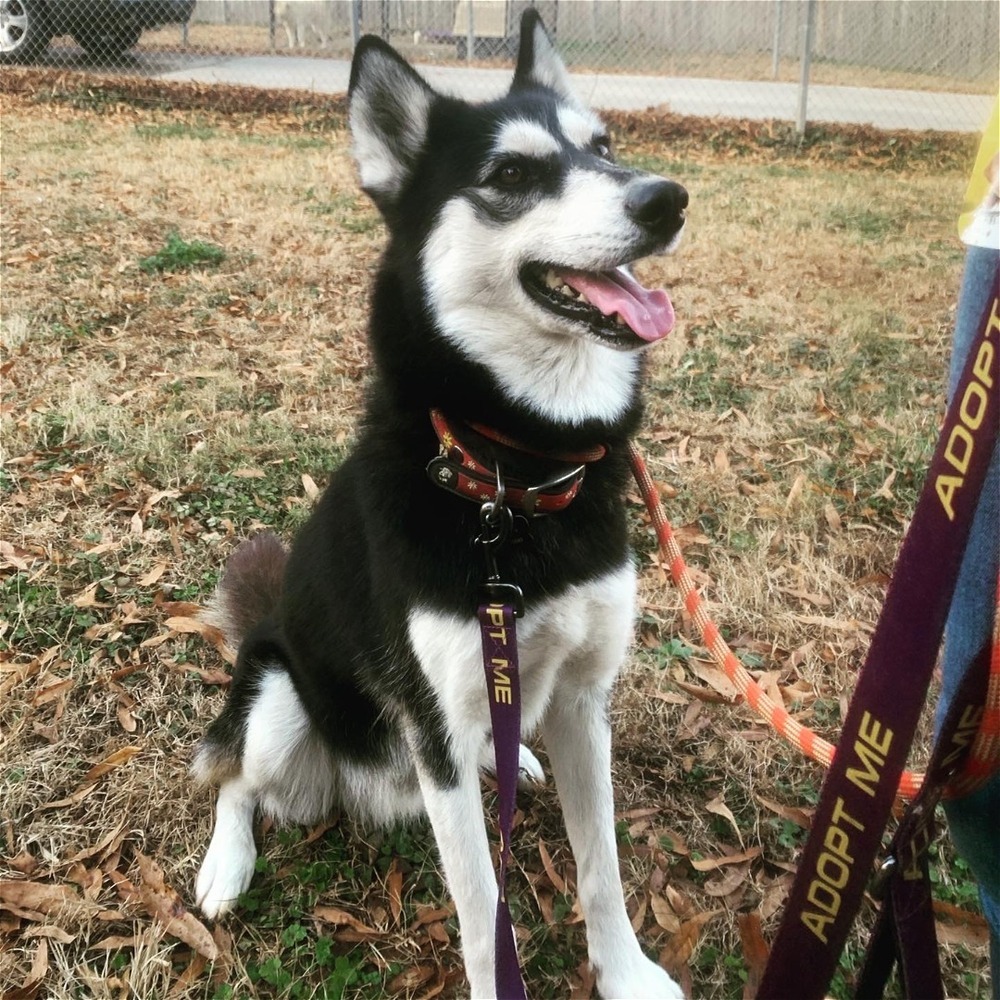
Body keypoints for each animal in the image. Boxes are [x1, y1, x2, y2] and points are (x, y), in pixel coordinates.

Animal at [195, 9, 692, 1000]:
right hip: (279, 703)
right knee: (234, 779)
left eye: (604, 147)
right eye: (511, 176)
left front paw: (624, 973)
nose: (667, 199)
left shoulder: (584, 698)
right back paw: (224, 867)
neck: (513, 477)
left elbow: (603, 869)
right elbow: (481, 910)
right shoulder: (441, 735)